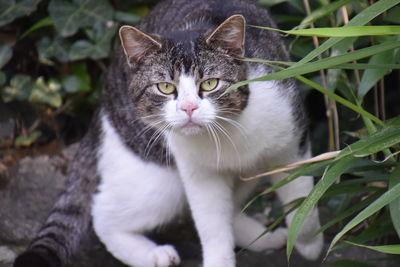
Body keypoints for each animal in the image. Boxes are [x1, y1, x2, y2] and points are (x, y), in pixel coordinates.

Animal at [14, 0, 324, 267]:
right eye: (165, 87)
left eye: (210, 83)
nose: (188, 107)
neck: (225, 133)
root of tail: (103, 100)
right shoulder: (198, 173)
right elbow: (211, 226)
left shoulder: (291, 145)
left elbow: (303, 200)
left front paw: (309, 244)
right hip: (158, 178)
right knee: (102, 212)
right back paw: (152, 255)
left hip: (250, 170)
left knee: (234, 203)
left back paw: (263, 238)